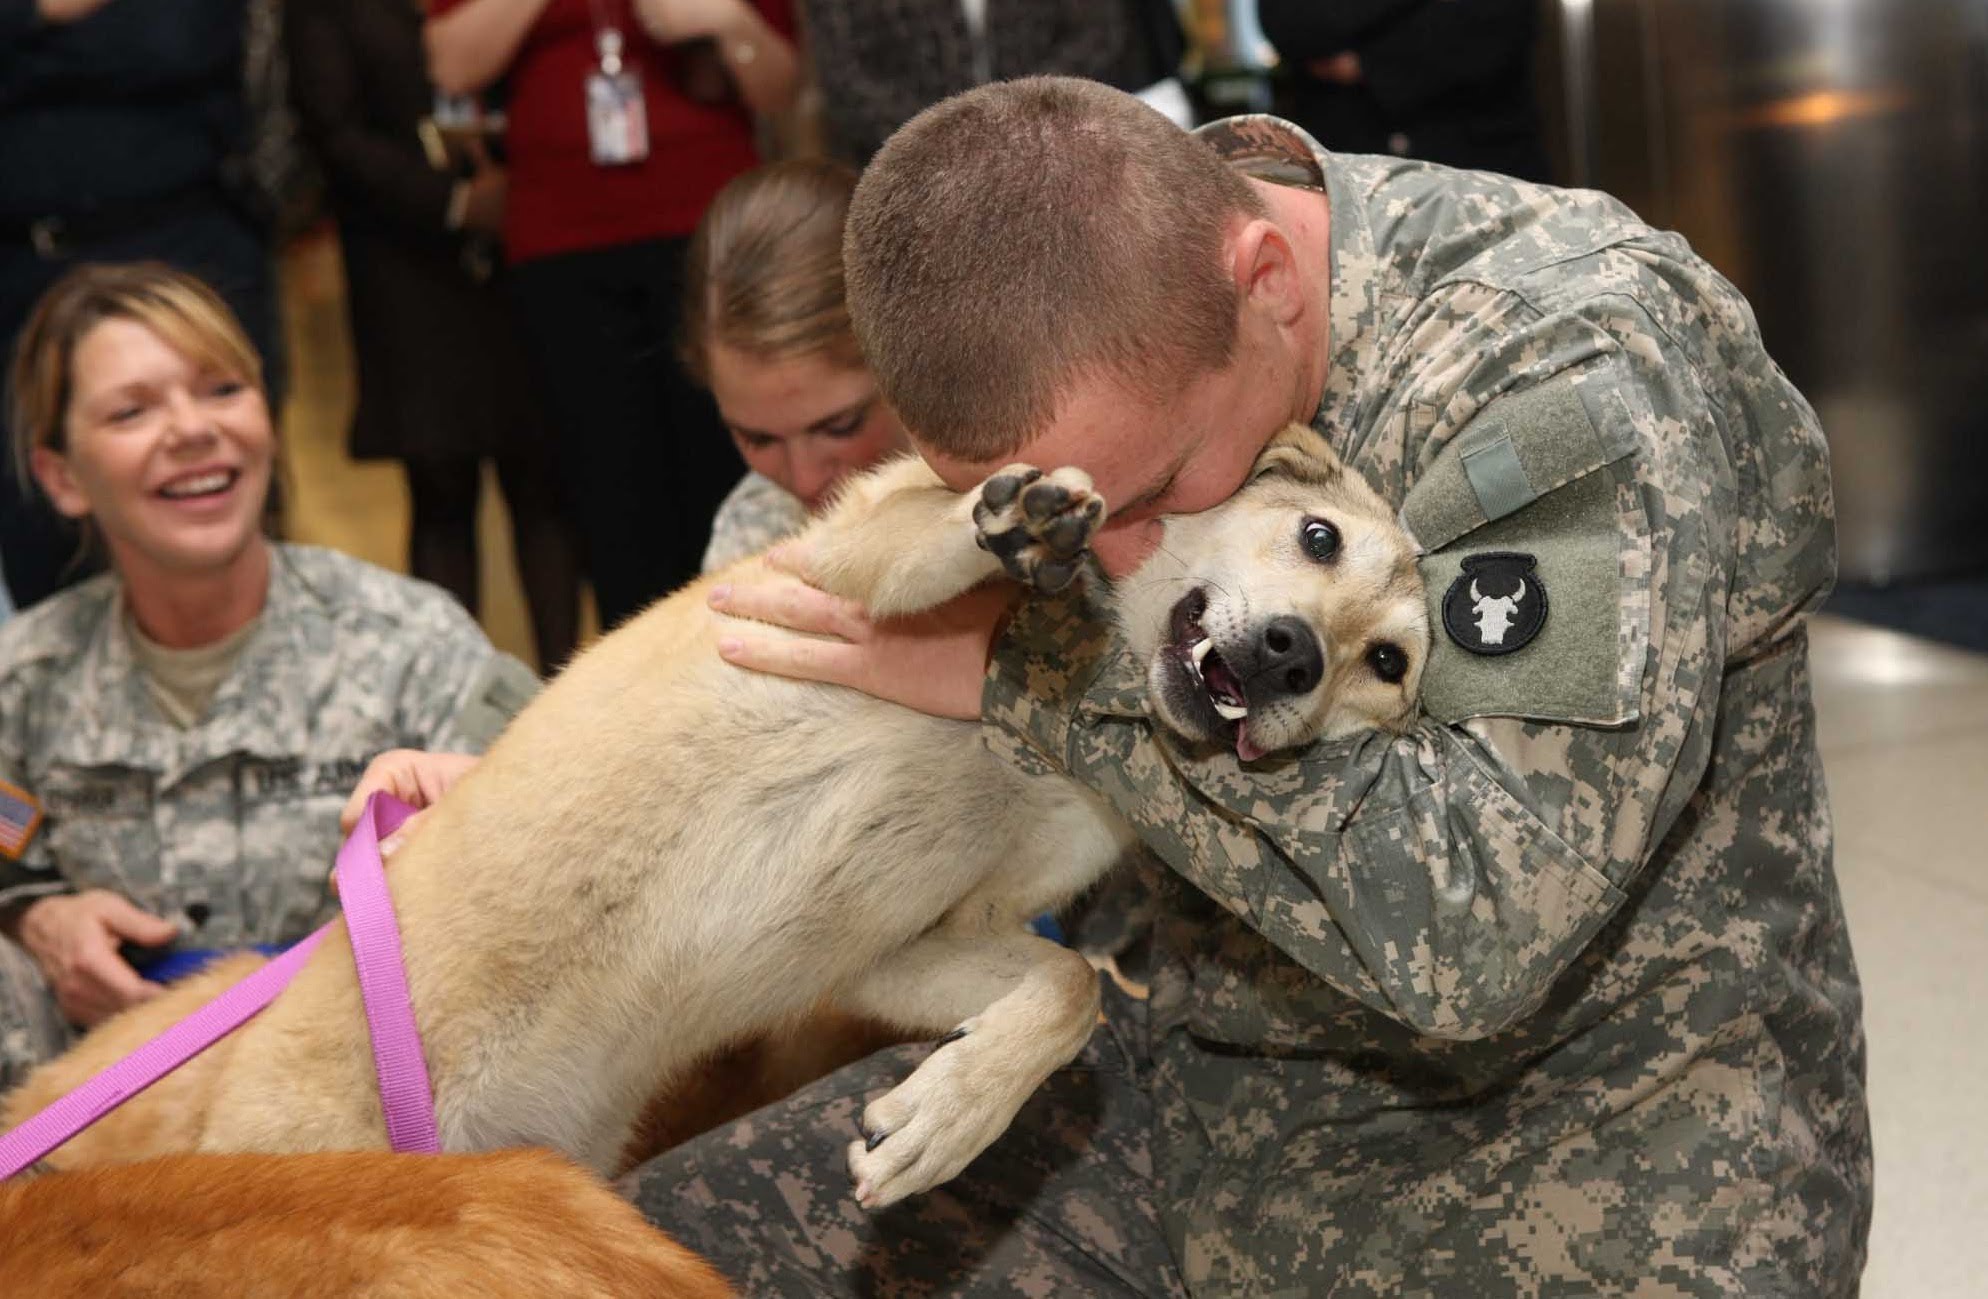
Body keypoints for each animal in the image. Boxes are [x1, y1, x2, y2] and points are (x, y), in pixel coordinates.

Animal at [3, 425, 1431, 1209]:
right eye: (1313, 536)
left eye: (1390, 665)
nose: (1296, 656)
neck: (1048, 730)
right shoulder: (833, 569)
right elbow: (926, 535)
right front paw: (1016, 528)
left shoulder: (897, 951)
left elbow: (1065, 991)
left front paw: (947, 1117)